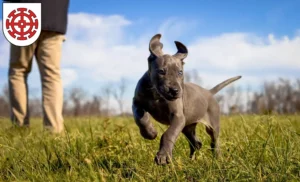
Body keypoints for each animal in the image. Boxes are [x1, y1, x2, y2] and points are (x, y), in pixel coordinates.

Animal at [131, 33, 241, 165]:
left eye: (180, 72)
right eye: (161, 71)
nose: (174, 91)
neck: (156, 94)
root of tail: (208, 92)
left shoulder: (178, 117)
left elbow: (168, 134)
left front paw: (163, 155)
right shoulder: (136, 102)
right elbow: (140, 118)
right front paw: (150, 132)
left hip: (211, 124)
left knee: (214, 142)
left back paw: (218, 160)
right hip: (187, 126)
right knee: (196, 143)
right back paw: (191, 161)